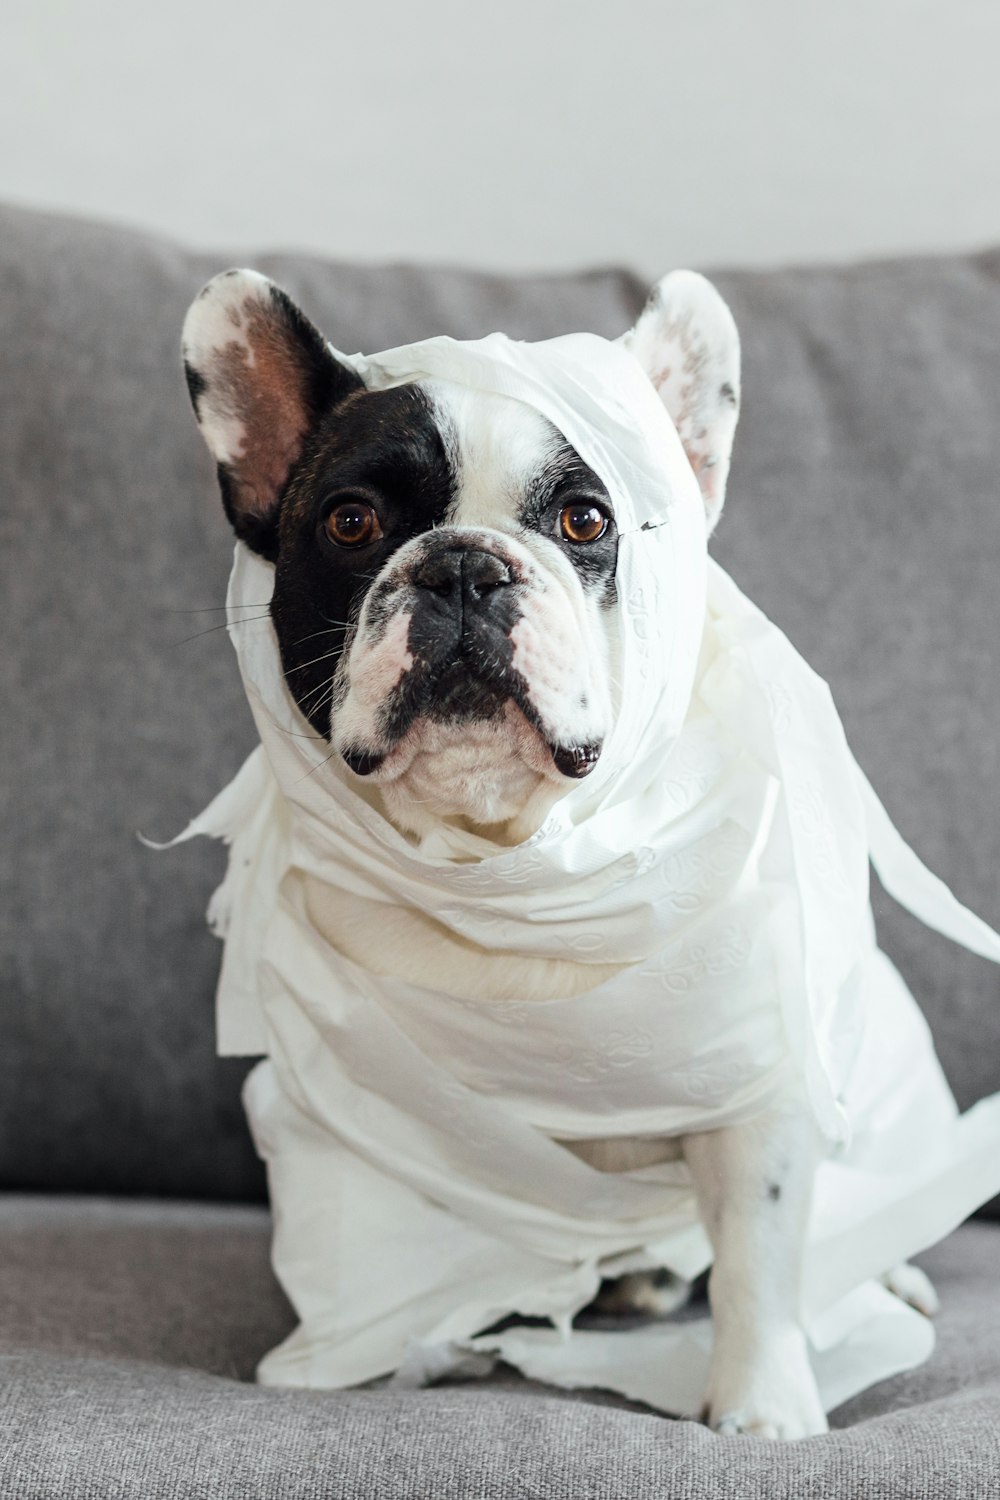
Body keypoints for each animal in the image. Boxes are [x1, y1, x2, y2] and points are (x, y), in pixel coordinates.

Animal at [179, 267, 941, 1440]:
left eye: (586, 520)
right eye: (351, 523)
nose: (462, 568)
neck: (507, 864)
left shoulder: (758, 1094)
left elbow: (760, 1257)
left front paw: (762, 1405)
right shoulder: (336, 1104)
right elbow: (358, 1248)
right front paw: (335, 1359)